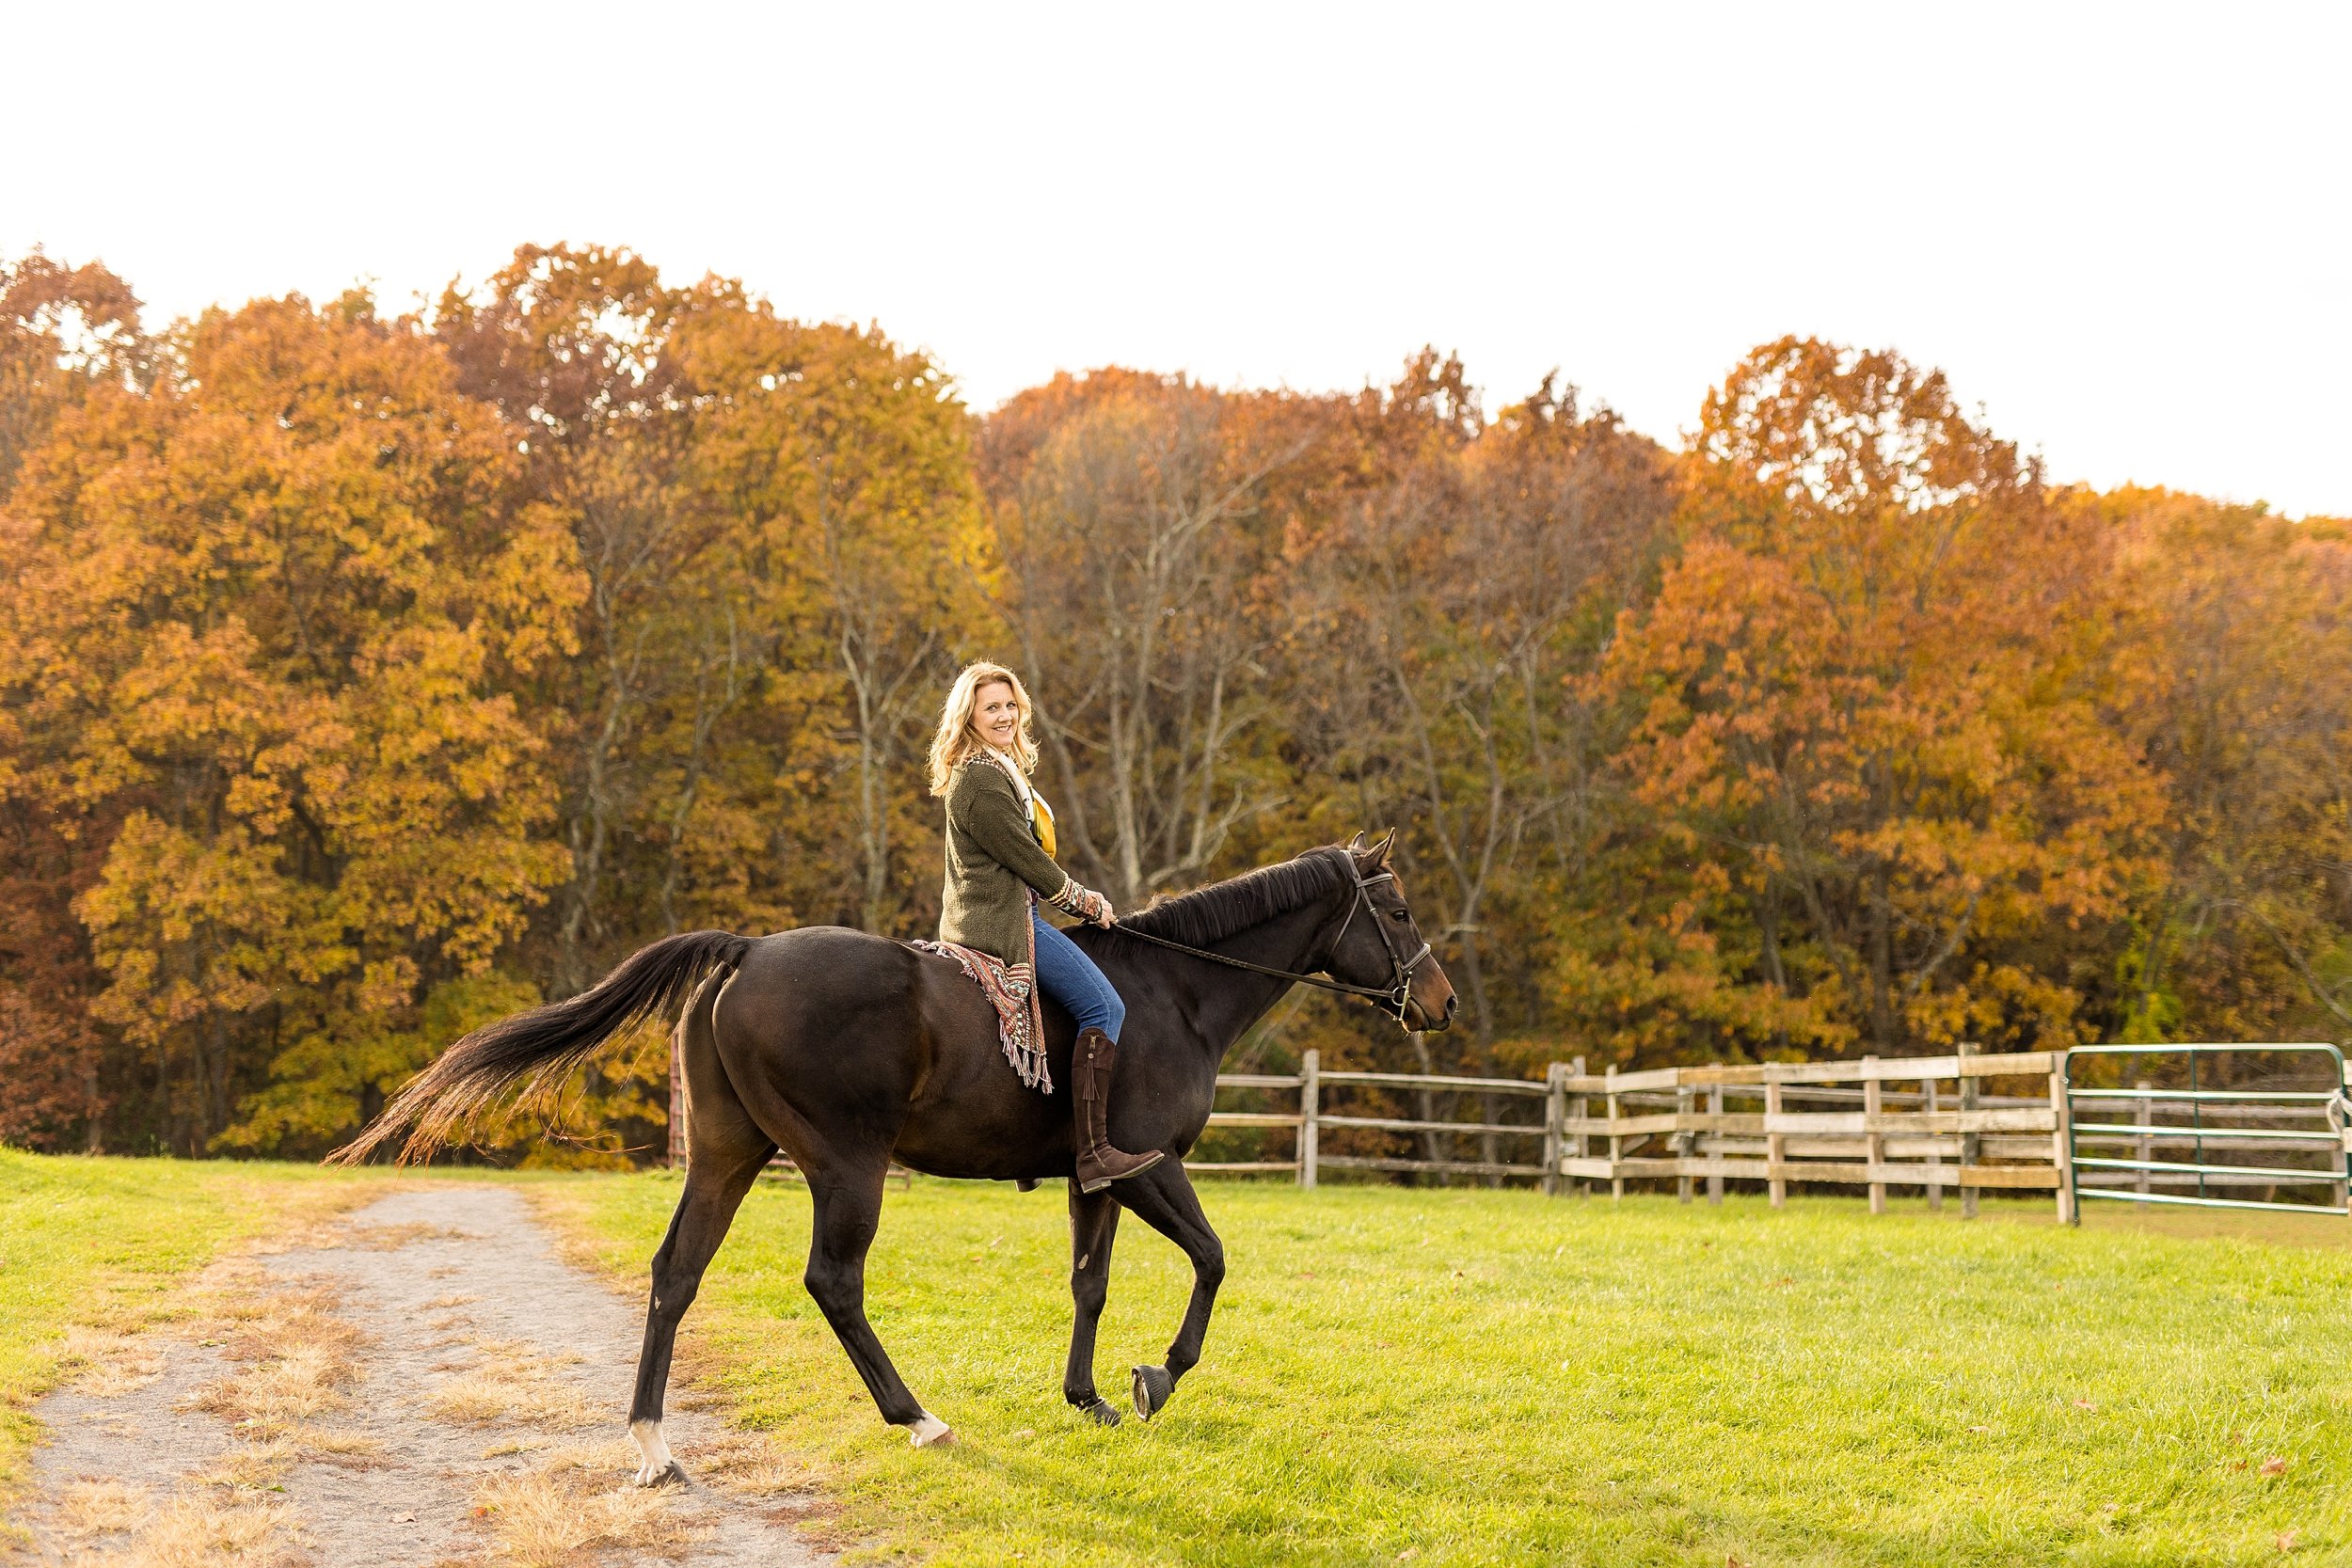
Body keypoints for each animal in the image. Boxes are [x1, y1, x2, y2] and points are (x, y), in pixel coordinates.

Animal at [334, 841, 1449, 1476]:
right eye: (1395, 910)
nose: (1437, 1001)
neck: (1173, 992)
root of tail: (747, 950)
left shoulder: (1095, 1180)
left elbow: (1087, 1283)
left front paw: (1088, 1395)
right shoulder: (1145, 1166)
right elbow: (1213, 1259)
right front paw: (1156, 1377)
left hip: (728, 1157)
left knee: (675, 1274)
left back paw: (652, 1442)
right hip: (846, 1166)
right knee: (834, 1281)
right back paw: (917, 1417)